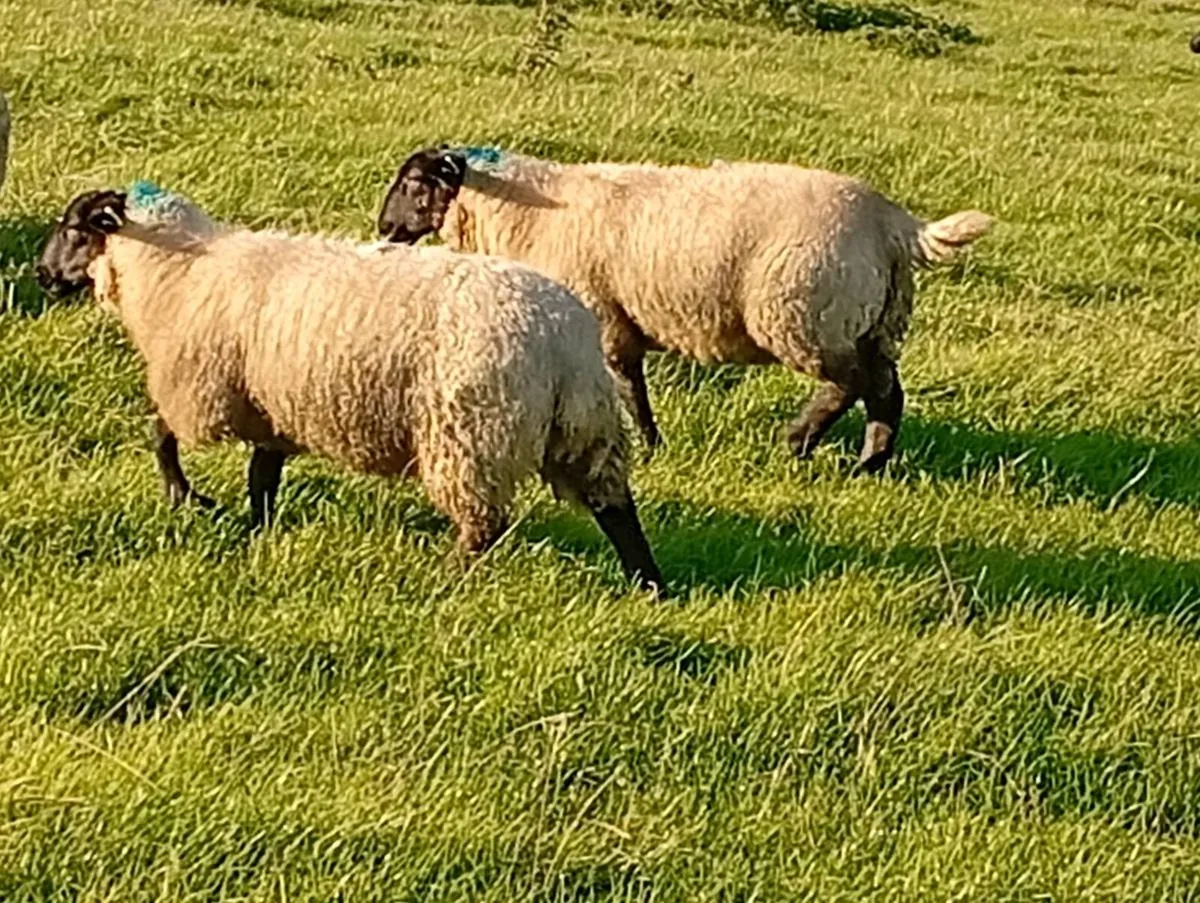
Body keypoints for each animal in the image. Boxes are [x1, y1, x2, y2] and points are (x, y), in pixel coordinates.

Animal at [37, 182, 666, 593]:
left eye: (73, 228)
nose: (42, 276)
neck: (180, 269)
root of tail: (564, 336)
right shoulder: (271, 405)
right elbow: (262, 476)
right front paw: (257, 530)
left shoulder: (198, 384)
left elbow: (160, 432)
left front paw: (185, 497)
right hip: (584, 427)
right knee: (615, 505)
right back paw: (649, 583)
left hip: (470, 432)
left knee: (484, 524)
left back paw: (446, 580)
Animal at [377, 146, 993, 473]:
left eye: (412, 182)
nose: (383, 229)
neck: (519, 211)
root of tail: (893, 223)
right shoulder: (619, 322)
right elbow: (634, 384)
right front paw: (655, 446)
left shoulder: (602, 319)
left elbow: (628, 390)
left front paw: (649, 446)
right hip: (872, 323)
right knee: (886, 390)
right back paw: (869, 463)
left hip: (804, 314)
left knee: (850, 385)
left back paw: (799, 441)